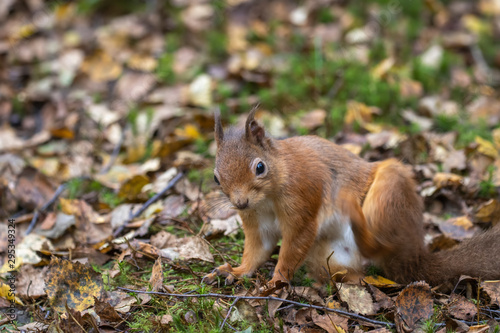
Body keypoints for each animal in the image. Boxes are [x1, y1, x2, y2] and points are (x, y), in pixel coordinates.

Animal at [204, 109, 500, 288]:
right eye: (216, 177)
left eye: (260, 167)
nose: (240, 203)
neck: (267, 198)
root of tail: (415, 254)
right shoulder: (257, 222)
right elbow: (257, 251)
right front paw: (235, 271)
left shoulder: (304, 198)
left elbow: (293, 247)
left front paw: (274, 283)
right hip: (329, 256)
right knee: (359, 272)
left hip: (388, 194)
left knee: (381, 244)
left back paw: (352, 209)